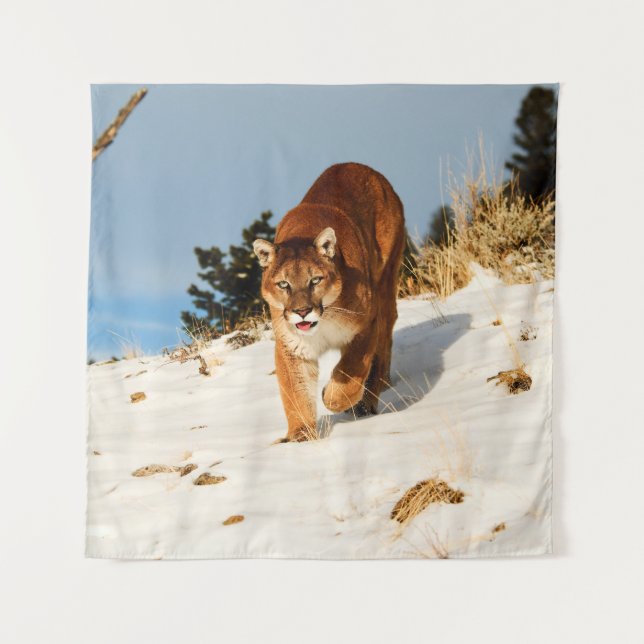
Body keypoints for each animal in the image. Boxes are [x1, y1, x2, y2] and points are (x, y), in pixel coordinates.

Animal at [253, 162, 405, 442]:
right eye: (284, 284)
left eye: (315, 280)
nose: (302, 311)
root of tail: (355, 165)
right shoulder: (291, 346)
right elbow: (296, 392)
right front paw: (300, 436)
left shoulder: (367, 324)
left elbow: (350, 371)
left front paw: (332, 398)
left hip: (386, 280)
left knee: (384, 342)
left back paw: (369, 399)